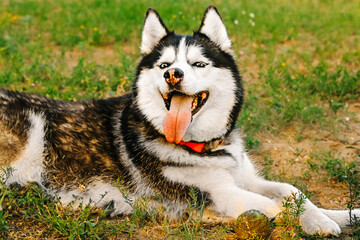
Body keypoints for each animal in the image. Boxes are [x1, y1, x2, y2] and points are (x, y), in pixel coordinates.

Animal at [0, 6, 358, 236]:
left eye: (199, 64)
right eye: (164, 65)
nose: (173, 74)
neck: (205, 147)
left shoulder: (244, 178)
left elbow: (293, 192)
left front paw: (339, 215)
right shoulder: (221, 194)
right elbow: (280, 206)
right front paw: (318, 224)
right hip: (32, 131)